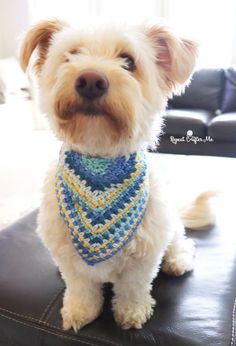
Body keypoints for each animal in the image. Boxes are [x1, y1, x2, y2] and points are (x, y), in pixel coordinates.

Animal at [20, 19, 212, 332]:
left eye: (128, 61)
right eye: (71, 55)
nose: (90, 80)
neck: (100, 164)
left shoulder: (144, 254)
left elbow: (133, 288)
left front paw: (132, 312)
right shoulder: (67, 255)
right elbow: (80, 286)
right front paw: (81, 310)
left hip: (169, 226)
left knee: (180, 242)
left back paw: (177, 261)